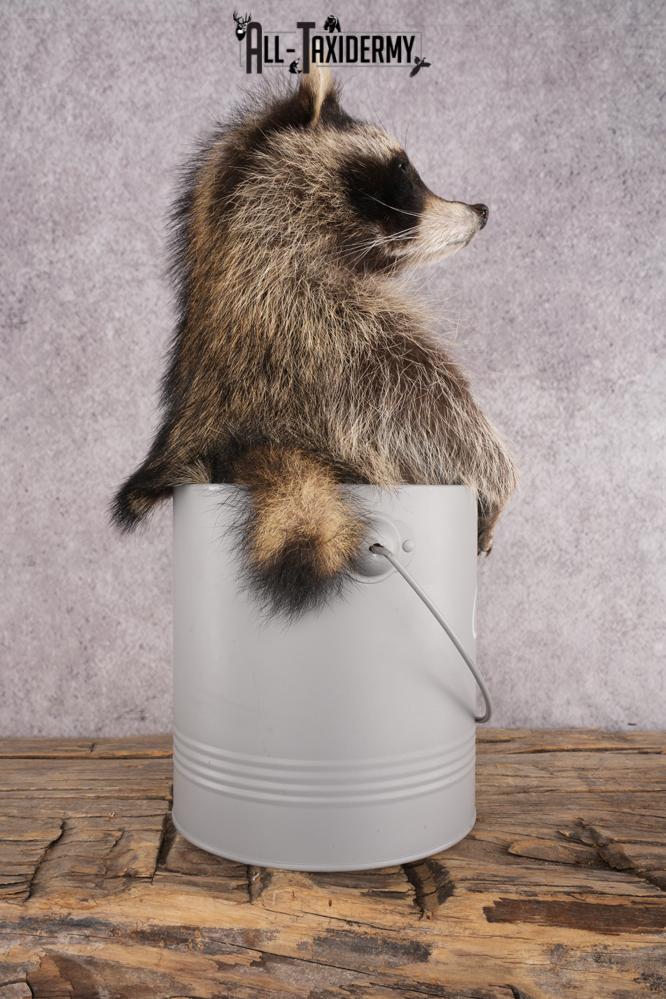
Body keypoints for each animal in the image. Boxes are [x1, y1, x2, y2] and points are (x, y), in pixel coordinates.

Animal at [112, 66, 517, 617]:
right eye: (401, 170)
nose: (481, 209)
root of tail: (235, 443)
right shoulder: (339, 344)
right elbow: (453, 431)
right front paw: (498, 486)